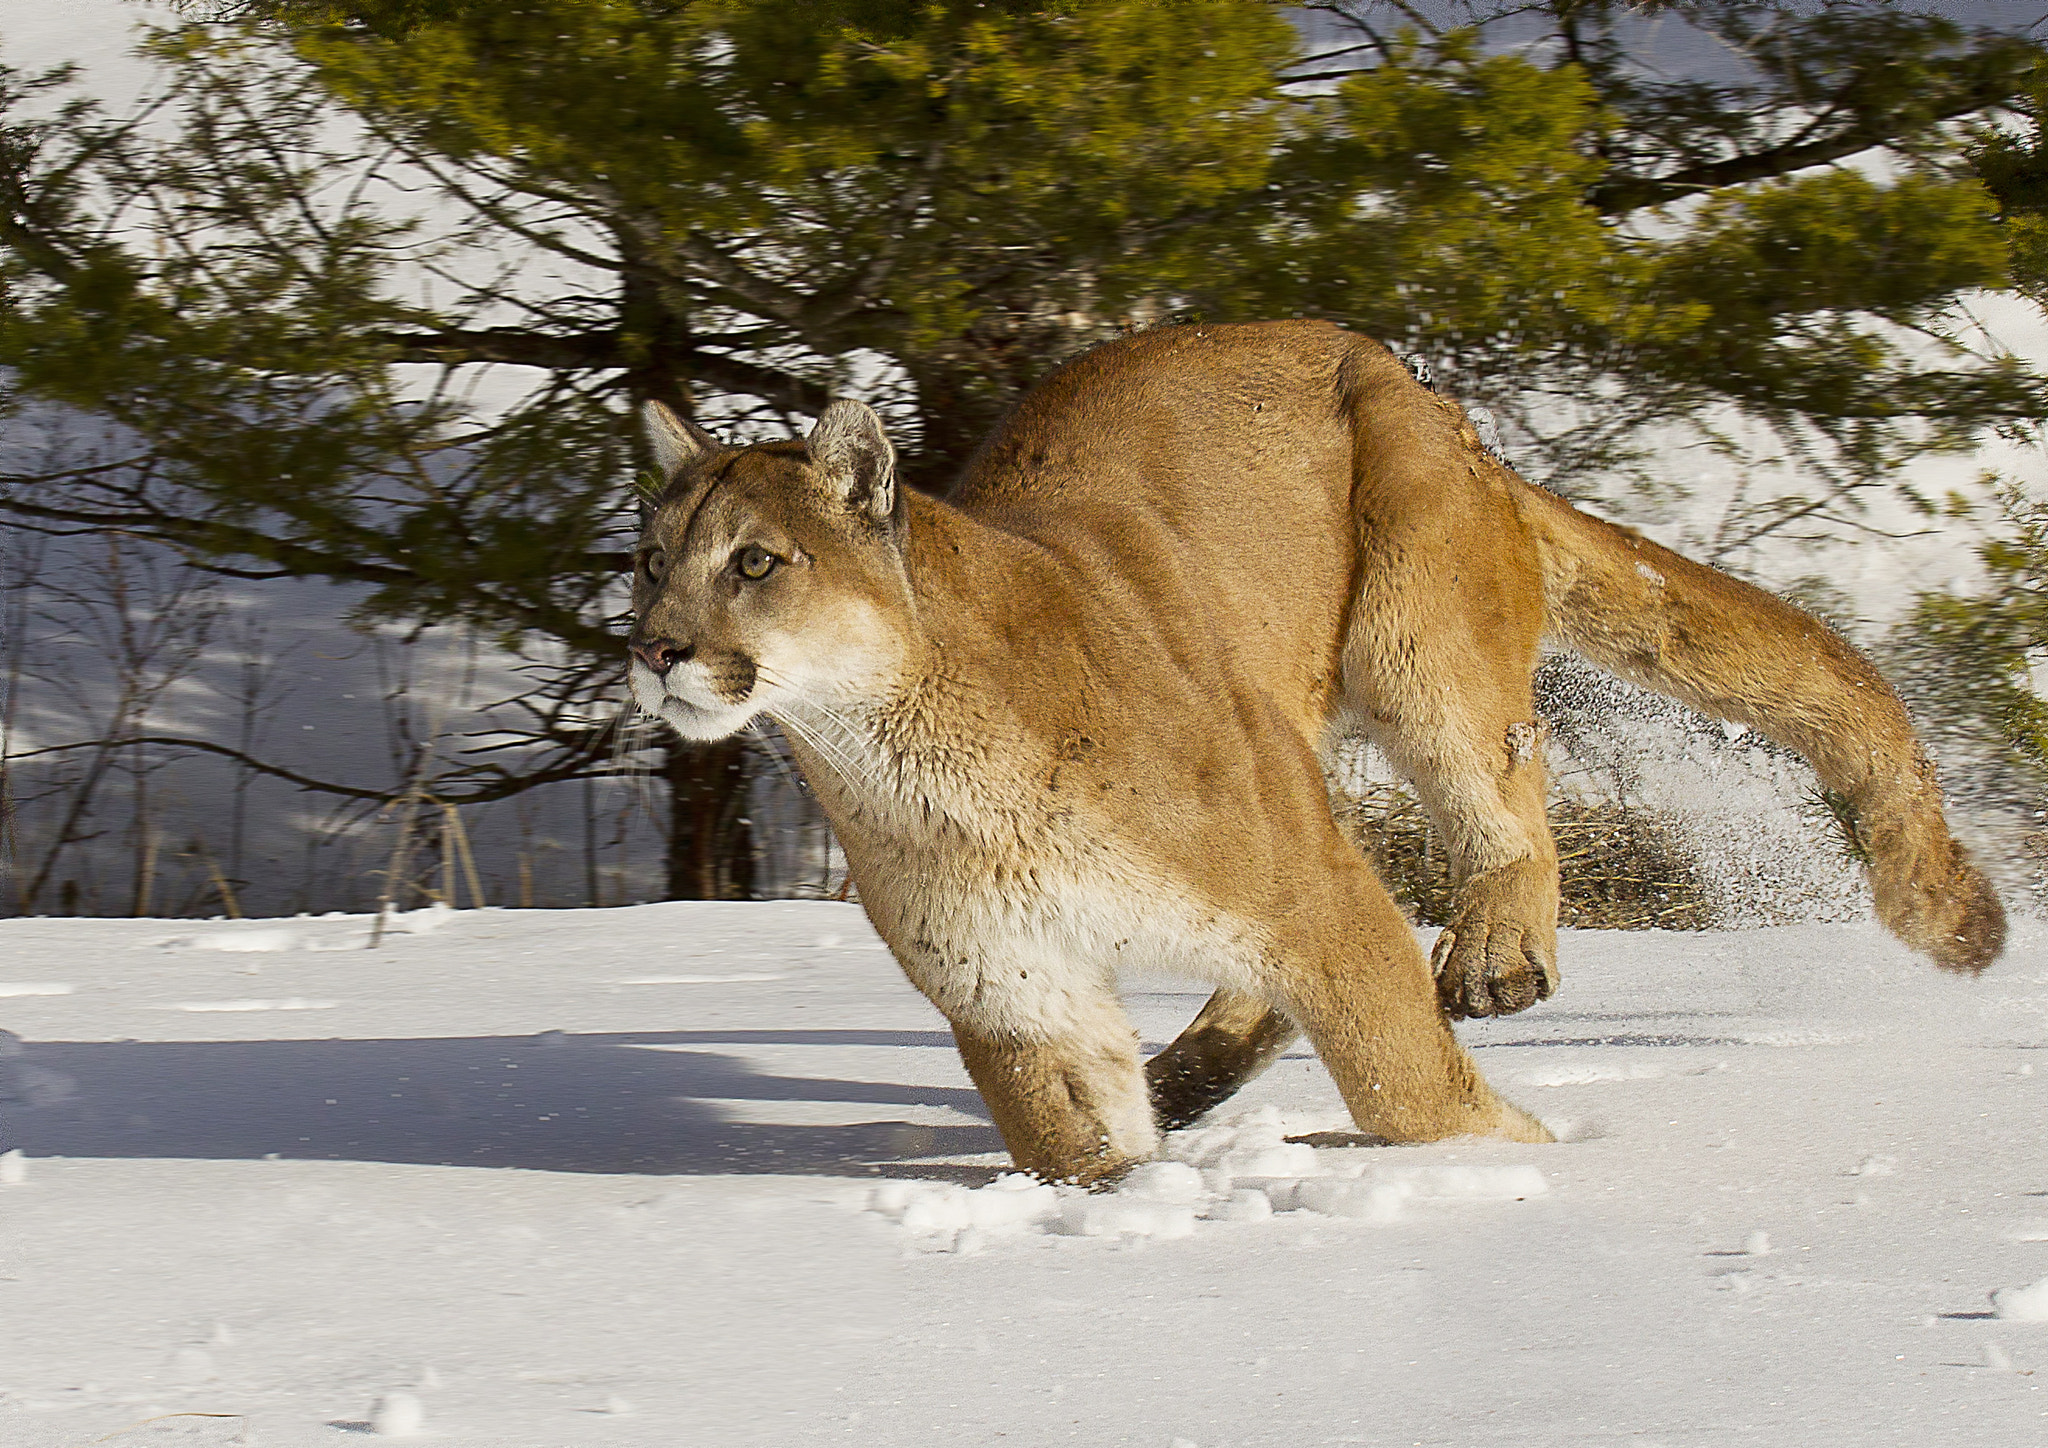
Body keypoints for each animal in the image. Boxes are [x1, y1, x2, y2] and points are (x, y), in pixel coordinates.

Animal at [627, 320, 2003, 1186]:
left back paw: (1491, 950)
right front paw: (1130, 1187)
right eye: (650, 558)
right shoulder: (1011, 981)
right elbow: (1076, 1143)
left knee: (1508, 805)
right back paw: (1189, 1075)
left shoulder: (1304, 889)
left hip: (1413, 625)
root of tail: (1394, 364)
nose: (653, 647)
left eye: (756, 560)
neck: (908, 754)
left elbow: (1401, 1079)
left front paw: (1506, 1162)